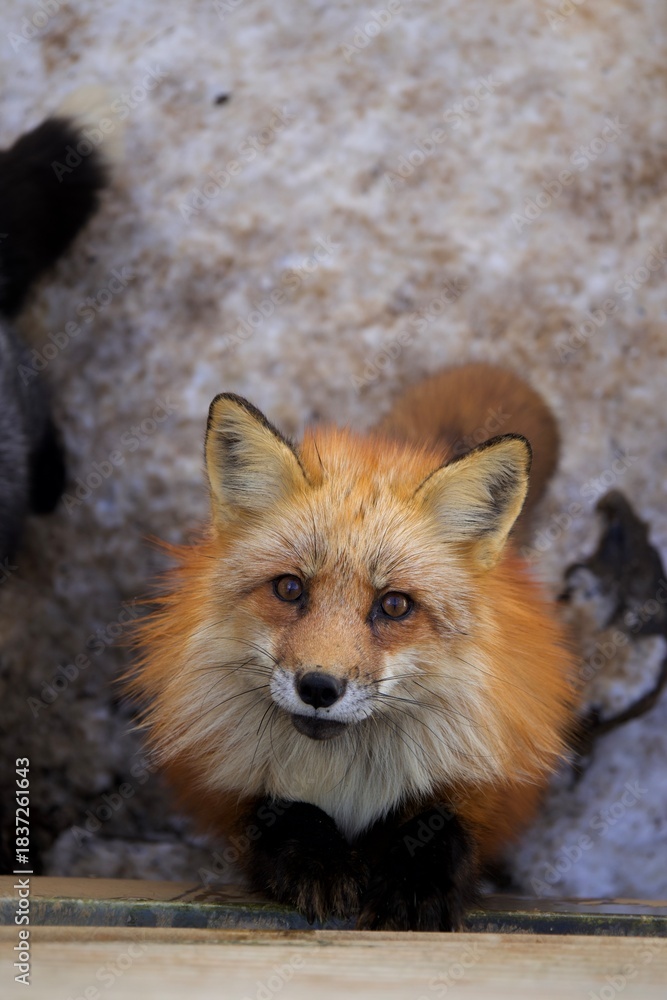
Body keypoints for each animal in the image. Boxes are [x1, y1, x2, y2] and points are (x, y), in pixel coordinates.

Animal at [131, 362, 576, 930]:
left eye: (394, 605)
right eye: (289, 588)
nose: (319, 687)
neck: (347, 776)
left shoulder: (487, 780)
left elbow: (440, 824)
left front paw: (414, 887)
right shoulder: (223, 786)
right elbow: (283, 813)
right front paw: (320, 864)